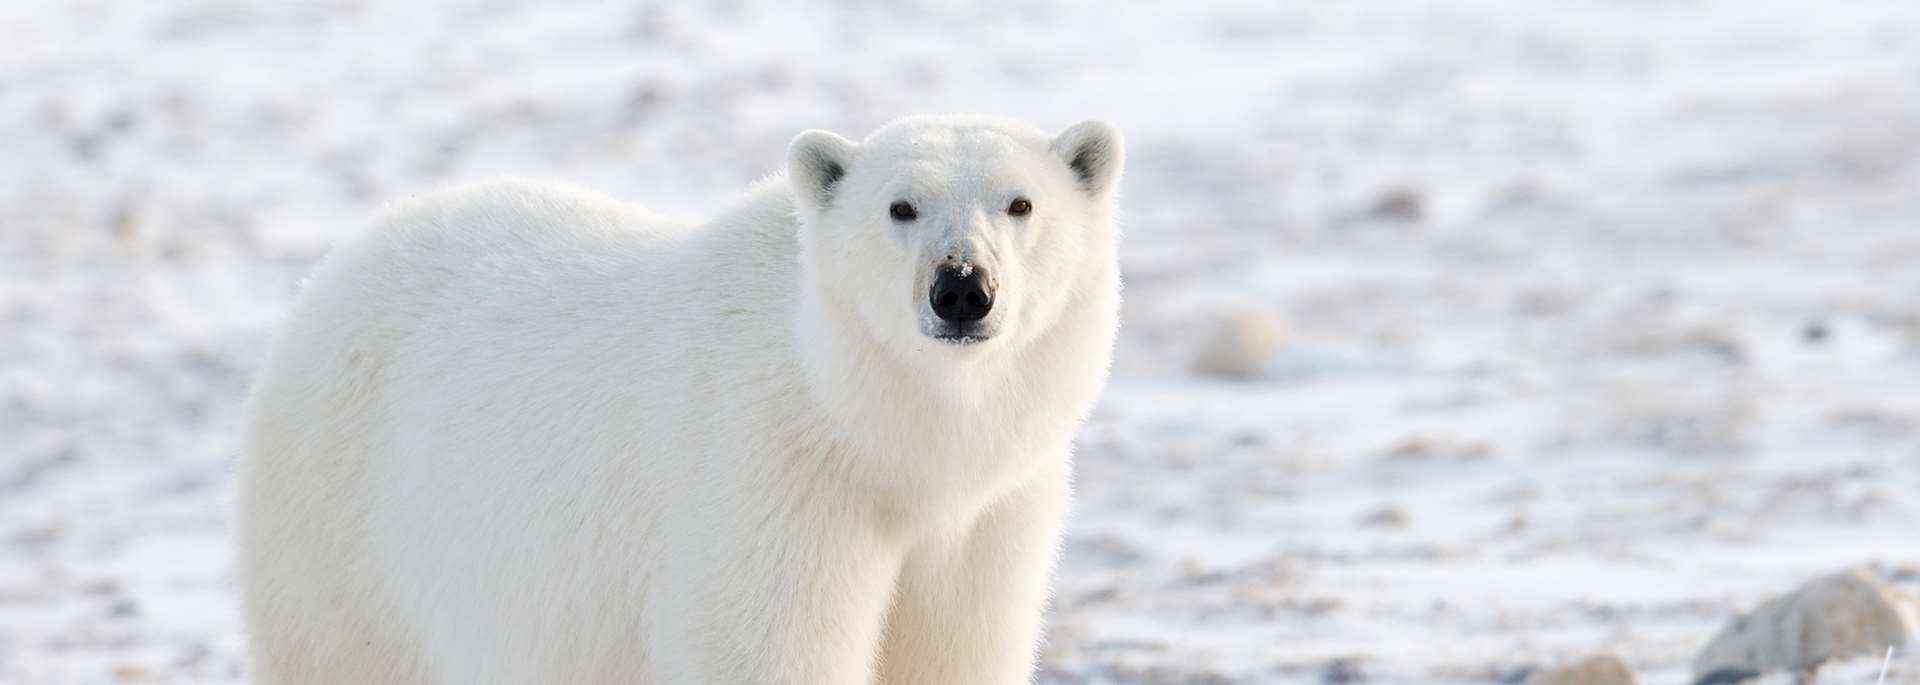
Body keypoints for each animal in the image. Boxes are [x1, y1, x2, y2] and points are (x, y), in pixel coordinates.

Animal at [236, 115, 1125, 684]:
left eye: (1020, 203)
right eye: (900, 206)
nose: (962, 287)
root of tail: (333, 270)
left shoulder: (987, 513)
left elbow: (956, 646)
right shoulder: (769, 475)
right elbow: (765, 647)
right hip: (346, 535)